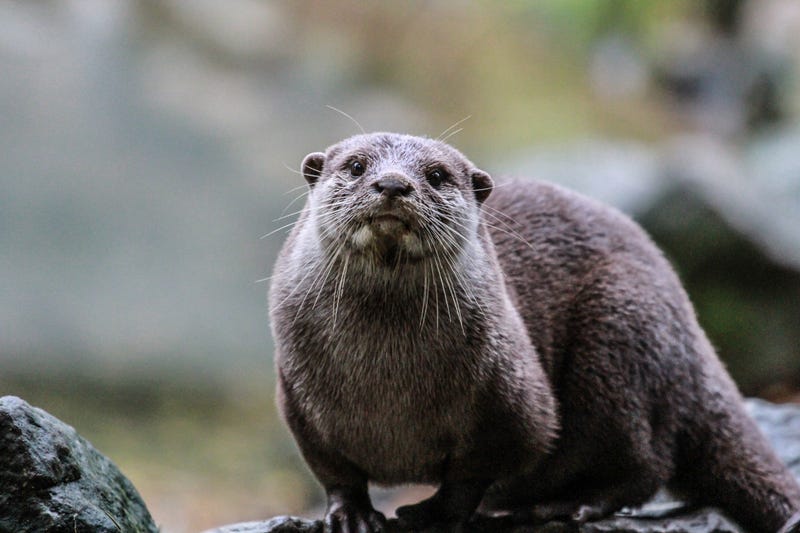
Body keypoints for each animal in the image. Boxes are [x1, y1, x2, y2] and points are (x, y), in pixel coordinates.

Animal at [269, 133, 800, 532]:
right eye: (357, 166)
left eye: (436, 175)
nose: (393, 183)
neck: (388, 380)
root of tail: (691, 325)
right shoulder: (297, 399)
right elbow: (333, 471)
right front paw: (353, 514)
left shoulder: (514, 402)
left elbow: (479, 469)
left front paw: (436, 514)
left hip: (622, 325)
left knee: (644, 463)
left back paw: (570, 505)